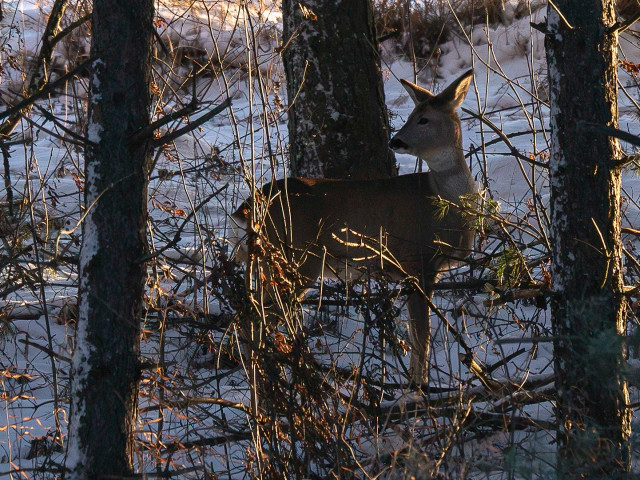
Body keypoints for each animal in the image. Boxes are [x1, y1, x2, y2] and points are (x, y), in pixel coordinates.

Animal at [230, 69, 476, 384]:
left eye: (424, 119)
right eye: (413, 115)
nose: (395, 141)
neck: (443, 201)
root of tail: (246, 209)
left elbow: (416, 334)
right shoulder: (417, 260)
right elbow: (421, 337)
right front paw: (418, 387)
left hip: (268, 263)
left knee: (248, 316)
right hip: (295, 258)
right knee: (256, 320)